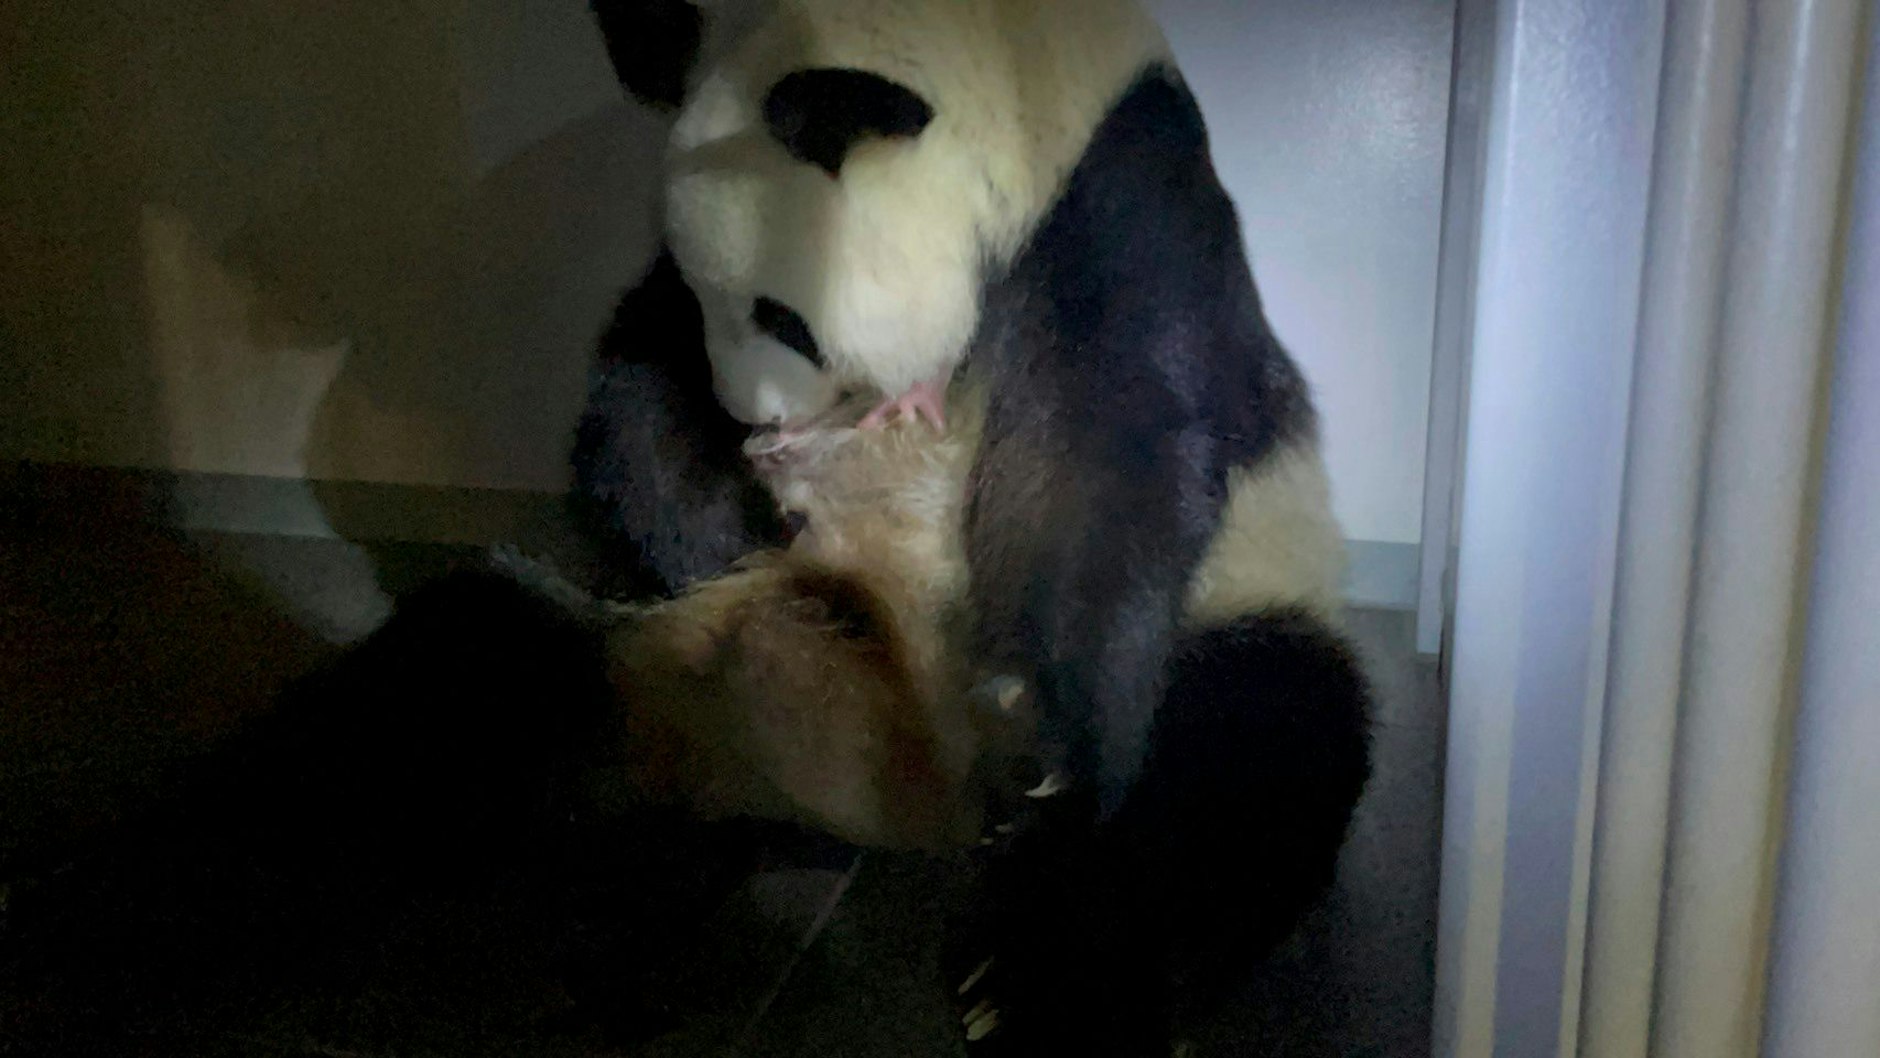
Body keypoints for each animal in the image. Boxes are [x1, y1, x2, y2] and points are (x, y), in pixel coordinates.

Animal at [573, 1, 1373, 1052]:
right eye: (712, 298)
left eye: (783, 317)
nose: (751, 417)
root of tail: (928, 797)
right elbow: (637, 375)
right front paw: (716, 526)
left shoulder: (1121, 199)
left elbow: (1109, 438)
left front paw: (1037, 718)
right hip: (684, 678)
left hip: (1245, 604)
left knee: (1247, 759)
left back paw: (1037, 977)